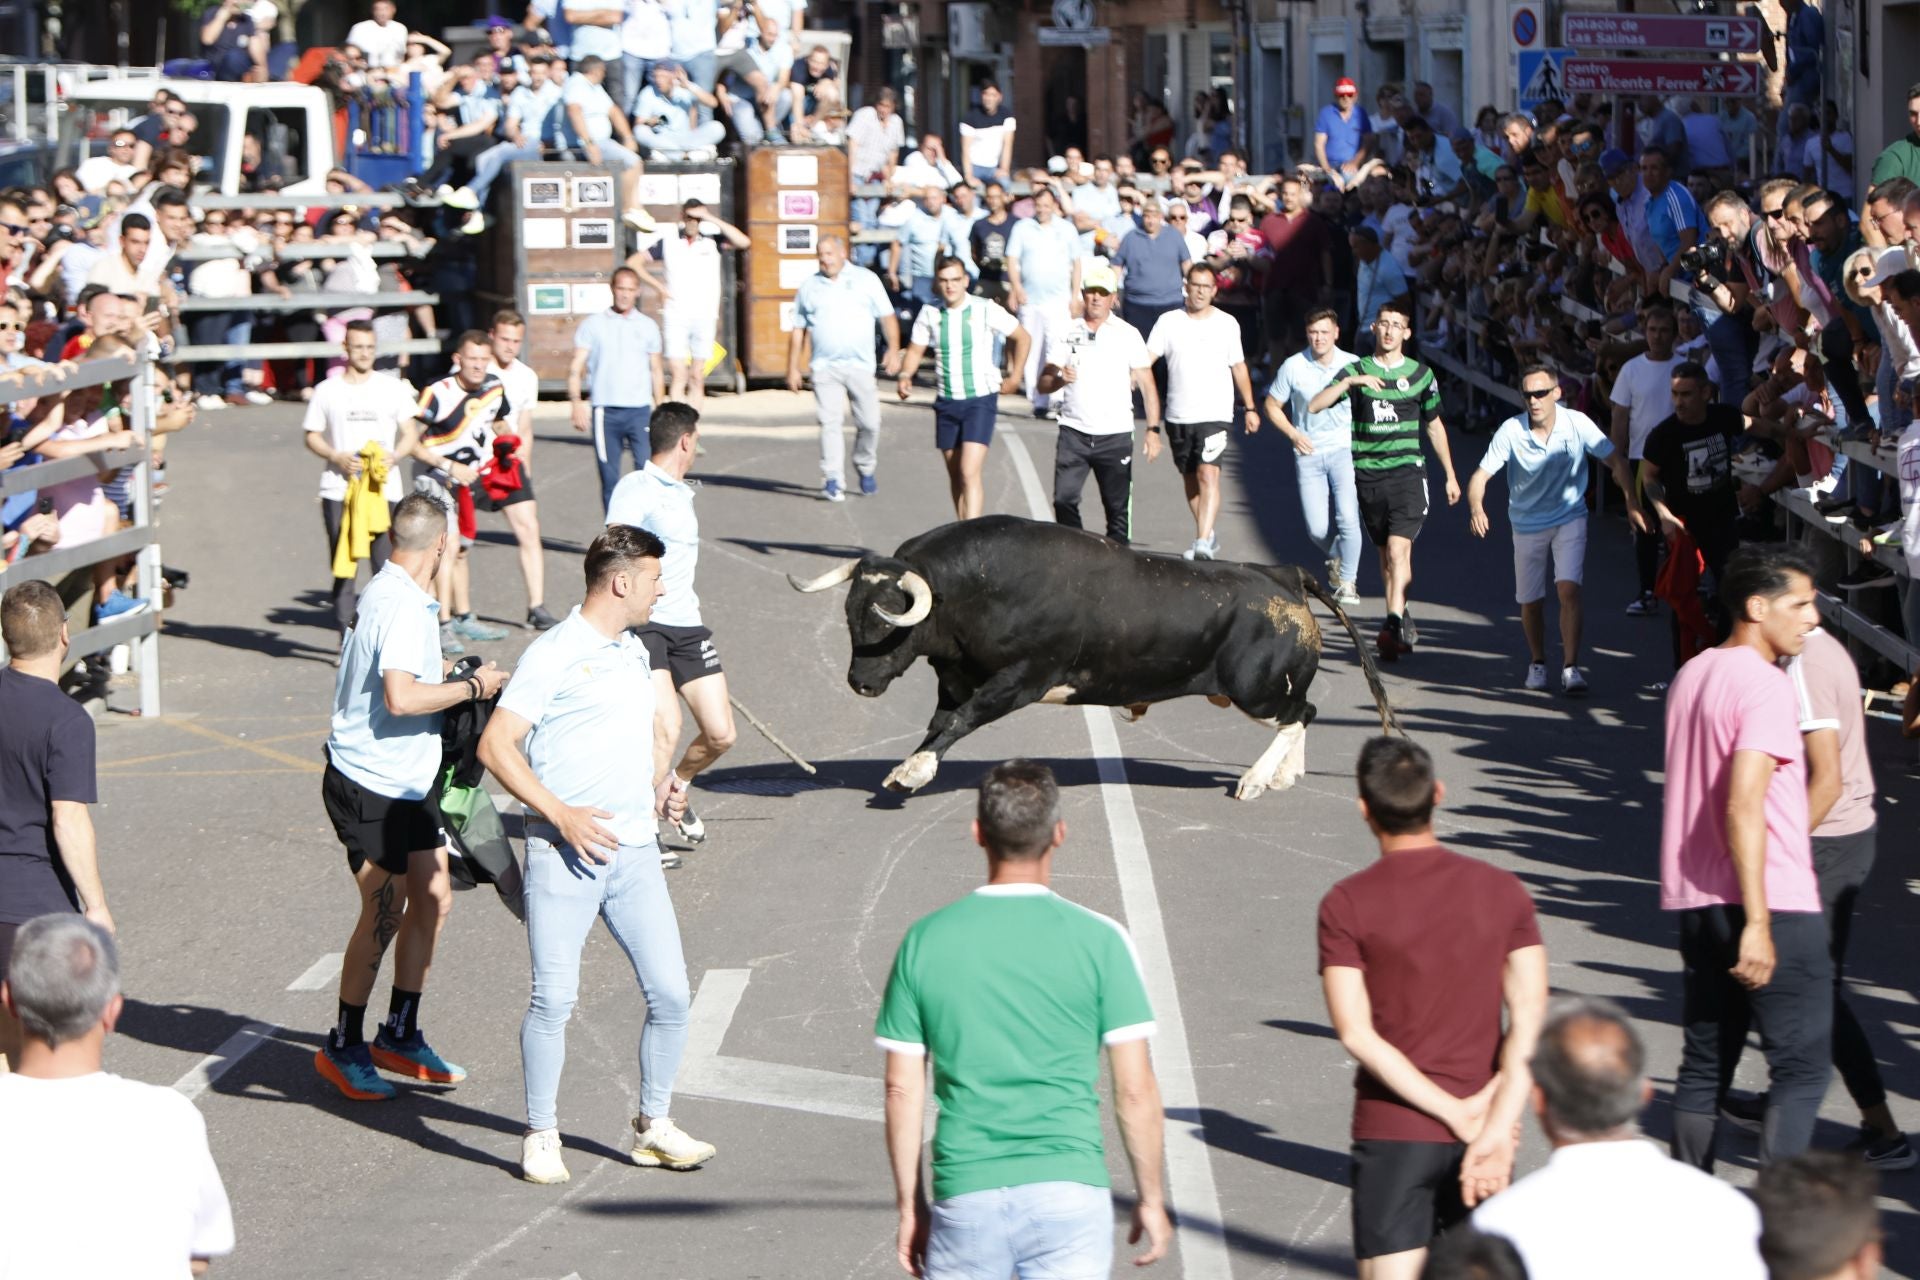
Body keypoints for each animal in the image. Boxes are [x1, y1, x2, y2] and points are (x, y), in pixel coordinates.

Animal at [787, 514, 1405, 794]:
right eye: (851, 617)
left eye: (884, 620)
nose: (860, 683)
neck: (975, 590)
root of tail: (1284, 575)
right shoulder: (958, 678)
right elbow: (941, 723)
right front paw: (911, 767)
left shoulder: (1022, 679)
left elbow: (961, 721)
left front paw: (913, 772)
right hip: (1263, 689)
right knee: (1302, 715)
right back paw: (1281, 776)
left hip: (1254, 687)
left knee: (1301, 713)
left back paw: (1254, 780)